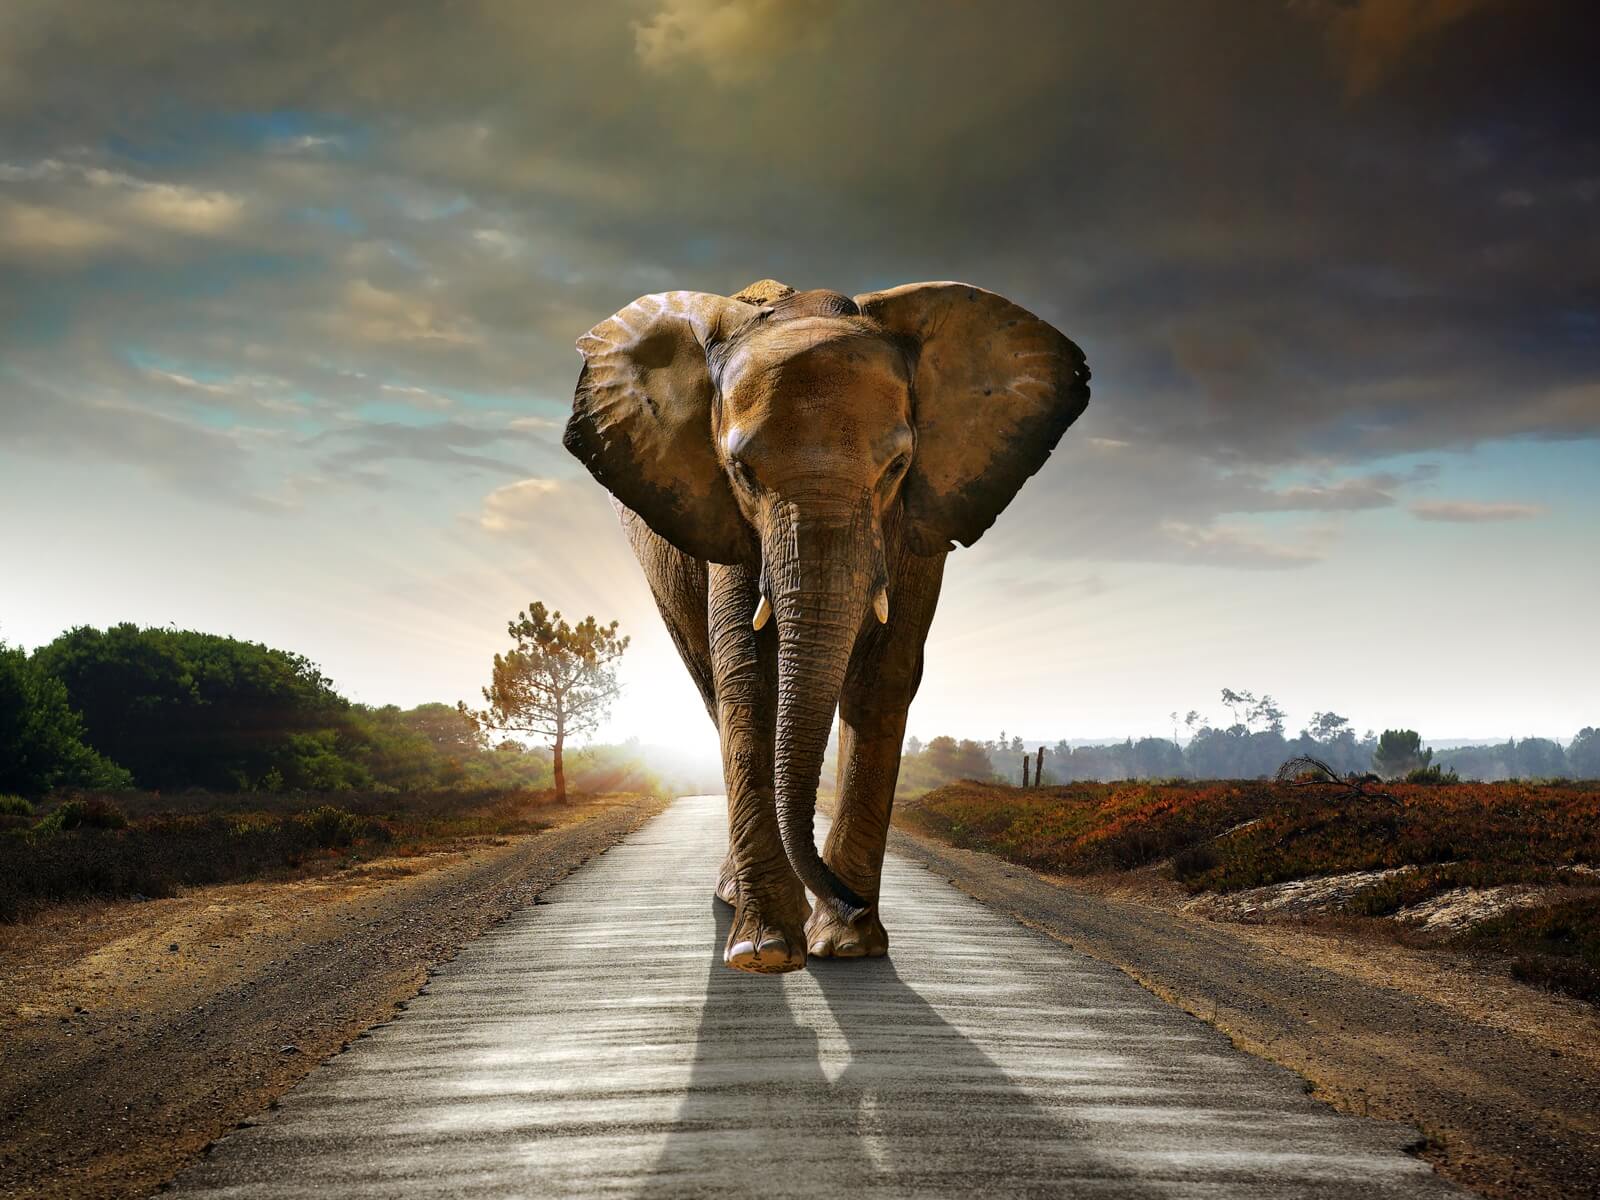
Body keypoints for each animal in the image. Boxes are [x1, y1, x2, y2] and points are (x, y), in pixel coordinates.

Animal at [563, 278, 1089, 973]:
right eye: (742, 472)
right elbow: (748, 678)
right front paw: (765, 952)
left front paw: (847, 945)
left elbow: (883, 677)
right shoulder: (727, 523)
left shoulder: (918, 521)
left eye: (897, 467)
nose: (849, 900)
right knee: (711, 688)